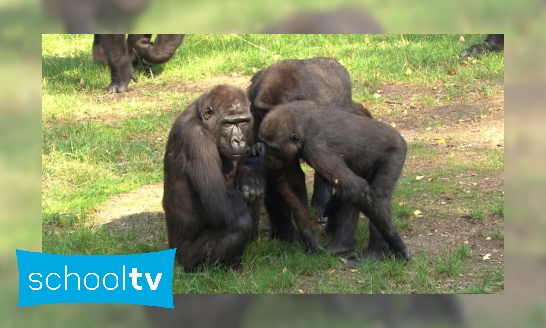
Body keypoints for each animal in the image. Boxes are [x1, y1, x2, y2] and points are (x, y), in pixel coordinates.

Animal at [162, 84, 264, 272]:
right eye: (228, 124)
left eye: (243, 122)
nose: (238, 140)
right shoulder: (197, 140)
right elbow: (219, 203)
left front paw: (250, 175)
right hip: (184, 258)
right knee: (239, 223)